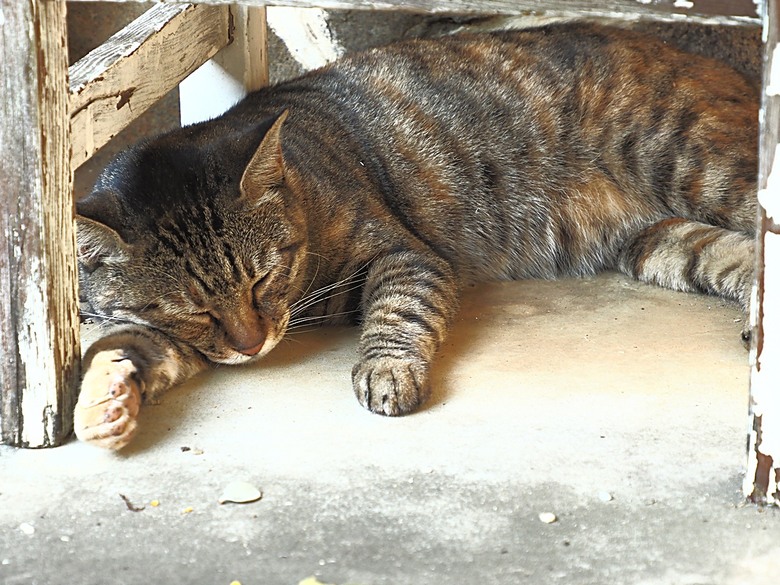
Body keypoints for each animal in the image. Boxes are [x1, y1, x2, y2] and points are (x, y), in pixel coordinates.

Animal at [73, 22, 756, 450]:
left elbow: (398, 312)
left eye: (264, 277)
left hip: (701, 169)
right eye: (192, 309)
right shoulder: (173, 334)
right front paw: (104, 402)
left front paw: (387, 369)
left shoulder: (403, 254)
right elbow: (126, 345)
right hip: (661, 243)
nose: (251, 344)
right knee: (743, 255)